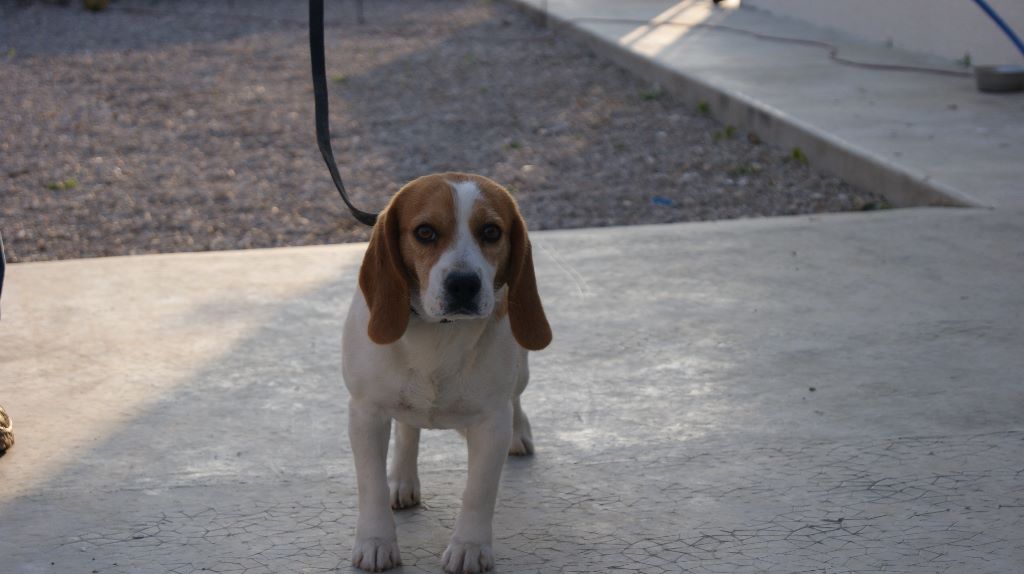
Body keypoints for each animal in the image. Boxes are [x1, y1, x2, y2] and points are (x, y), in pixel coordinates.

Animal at [342, 171, 552, 568]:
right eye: (425, 232)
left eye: (491, 232)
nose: (464, 283)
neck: (439, 331)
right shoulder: (366, 414)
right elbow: (370, 485)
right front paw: (376, 541)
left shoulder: (490, 422)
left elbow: (478, 492)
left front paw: (470, 547)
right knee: (407, 430)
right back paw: (403, 479)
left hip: (520, 374)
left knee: (516, 400)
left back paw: (519, 433)